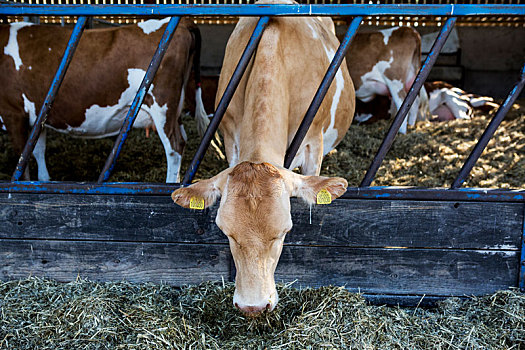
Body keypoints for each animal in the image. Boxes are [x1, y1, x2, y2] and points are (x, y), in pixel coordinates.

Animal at [0, 18, 209, 183]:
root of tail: (181, 23)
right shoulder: (37, 115)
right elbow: (36, 150)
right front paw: (44, 180)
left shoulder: (12, 112)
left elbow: (22, 160)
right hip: (175, 107)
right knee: (182, 140)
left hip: (162, 105)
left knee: (174, 146)